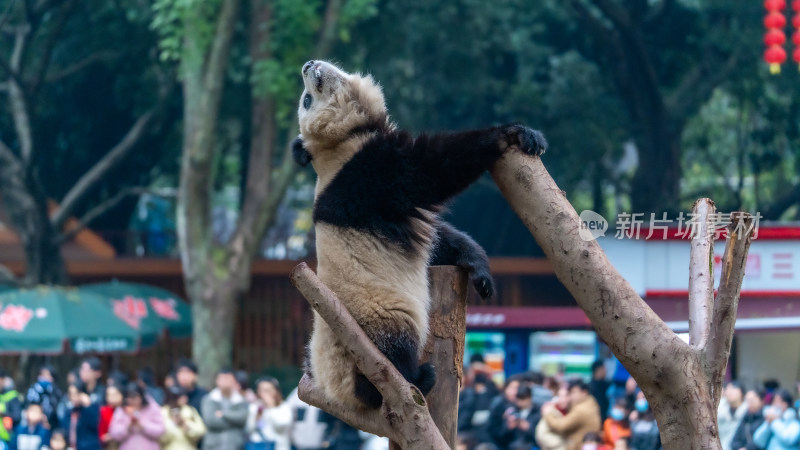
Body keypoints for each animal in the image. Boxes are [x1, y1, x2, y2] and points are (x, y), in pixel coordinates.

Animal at [296, 60, 552, 412]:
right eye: (307, 100)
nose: (308, 65)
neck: (339, 142)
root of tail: (335, 390)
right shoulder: (365, 174)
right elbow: (430, 170)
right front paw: (516, 134)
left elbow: (439, 240)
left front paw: (480, 271)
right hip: (371, 318)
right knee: (391, 354)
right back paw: (417, 379)